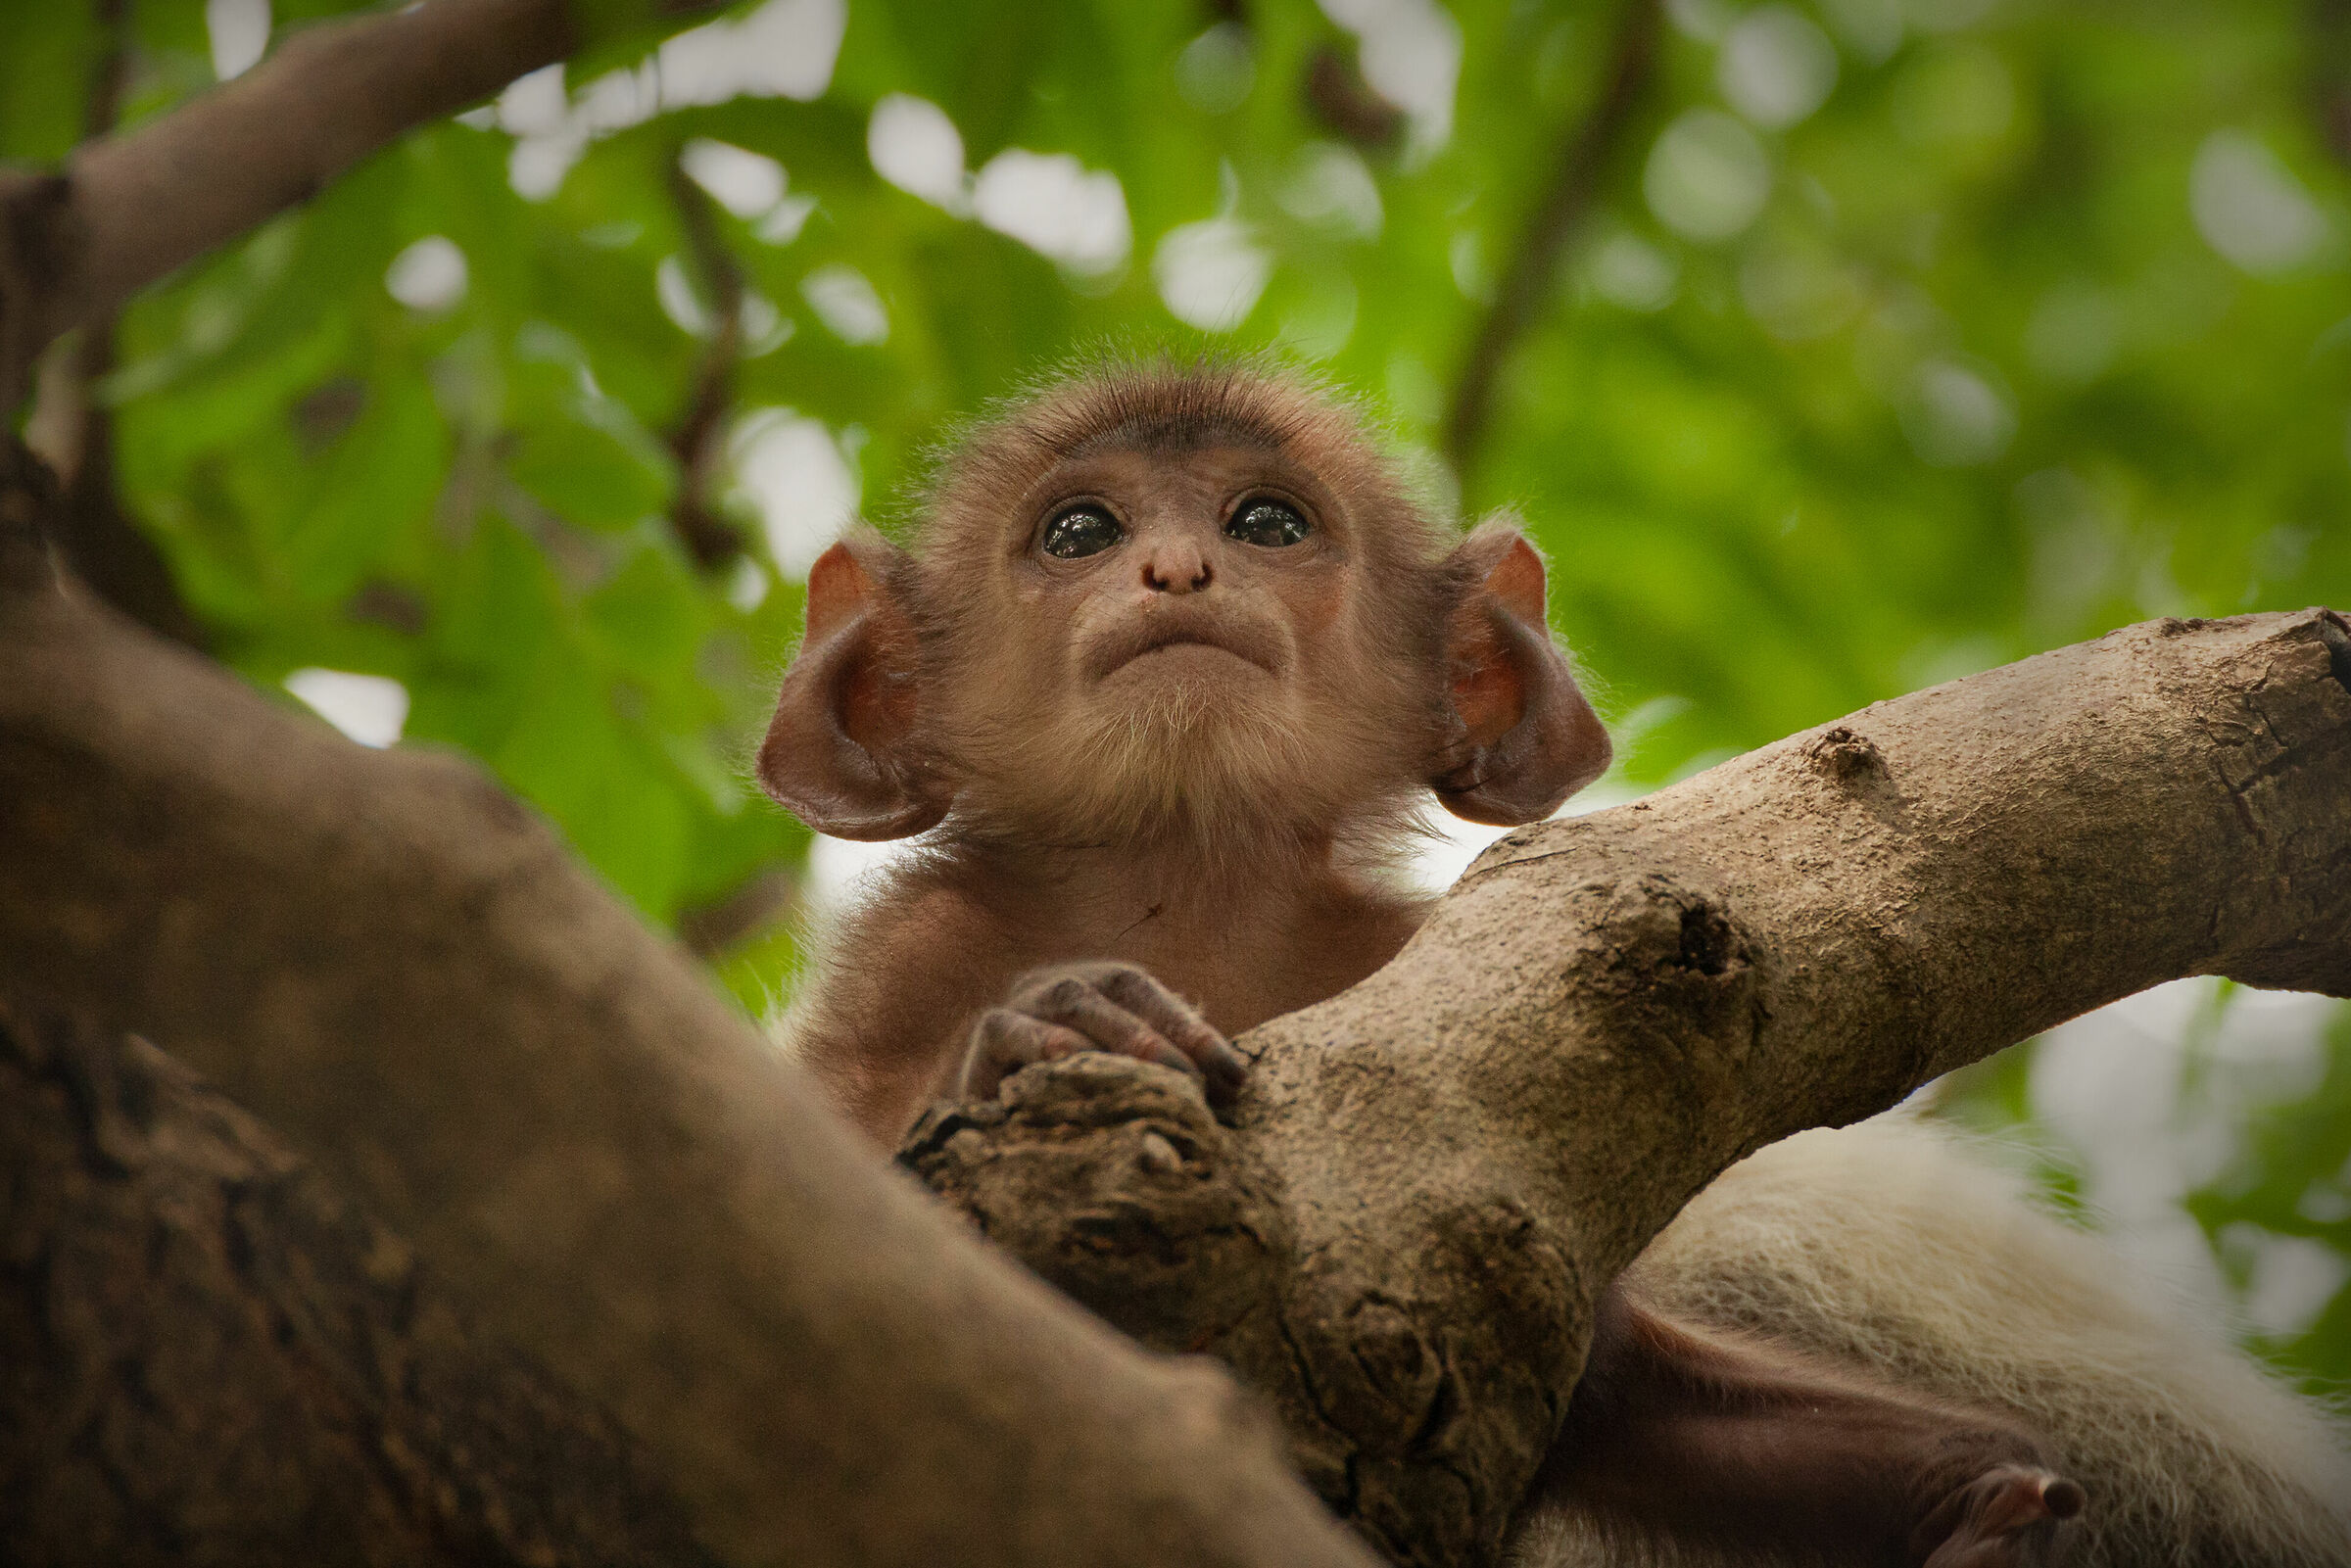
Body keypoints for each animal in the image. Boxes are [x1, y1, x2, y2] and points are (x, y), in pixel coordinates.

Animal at [757, 356, 2351, 1567]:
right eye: (1077, 532)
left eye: (1267, 519)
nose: (1176, 565)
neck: (1180, 890)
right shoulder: (924, 940)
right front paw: (1046, 1032)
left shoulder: (1402, 949)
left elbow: (1584, 1351)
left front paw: (1987, 1501)